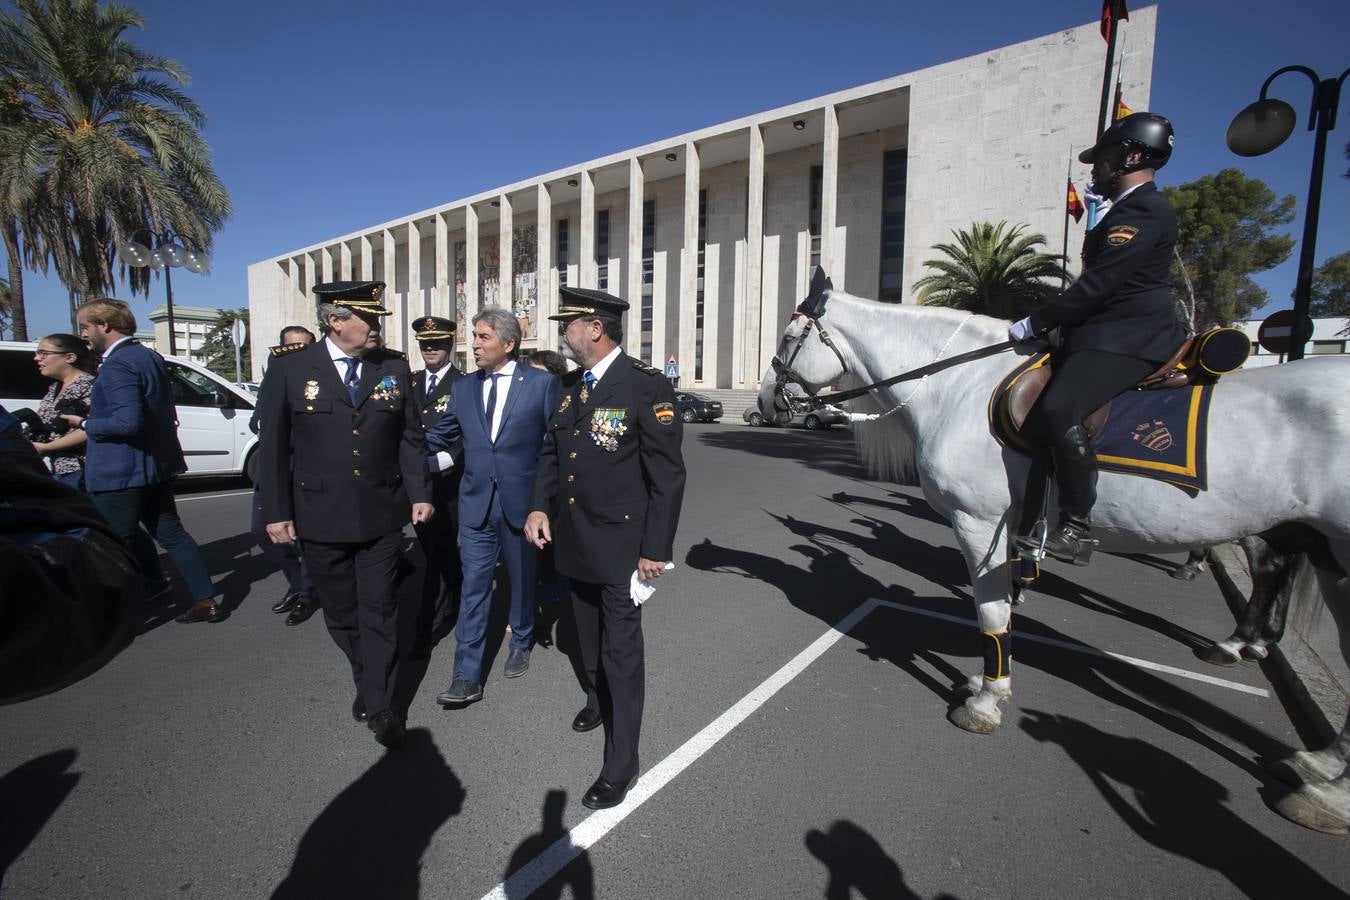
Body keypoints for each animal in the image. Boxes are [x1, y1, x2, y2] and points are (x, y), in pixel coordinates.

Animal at [756, 288, 1350, 831]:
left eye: (788, 337)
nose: (764, 402)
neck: (959, 387)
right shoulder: (1008, 529)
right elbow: (1003, 608)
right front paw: (987, 680)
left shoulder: (979, 523)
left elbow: (991, 612)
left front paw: (987, 700)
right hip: (1324, 553)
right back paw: (1315, 757)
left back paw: (1324, 790)